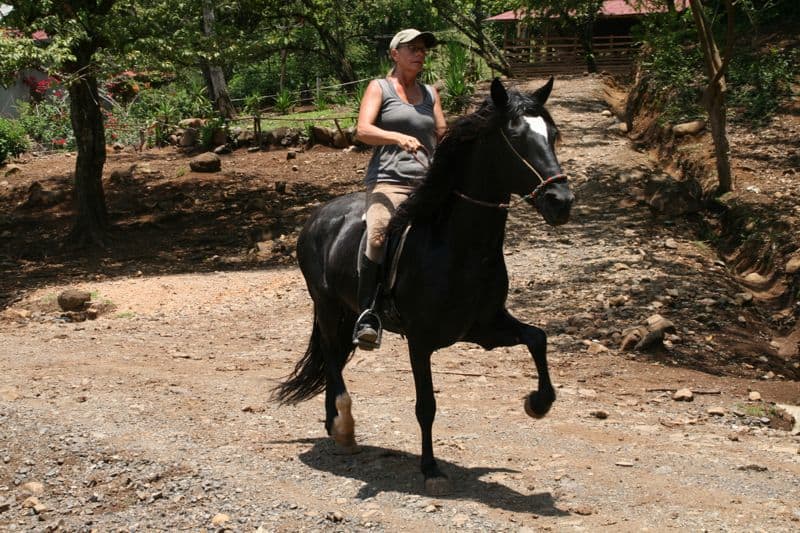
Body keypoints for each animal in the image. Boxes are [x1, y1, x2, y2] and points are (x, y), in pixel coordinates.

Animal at [276, 79, 576, 494]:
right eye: (516, 138)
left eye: (553, 134)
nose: (561, 202)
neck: (457, 247)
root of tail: (317, 216)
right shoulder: (420, 341)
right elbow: (426, 406)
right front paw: (430, 467)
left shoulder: (483, 328)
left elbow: (538, 338)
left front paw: (538, 403)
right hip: (327, 306)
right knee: (332, 357)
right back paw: (343, 426)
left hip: (345, 309)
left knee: (332, 355)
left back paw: (334, 426)